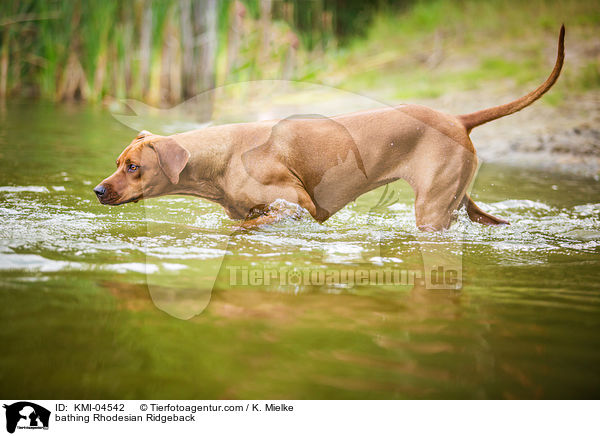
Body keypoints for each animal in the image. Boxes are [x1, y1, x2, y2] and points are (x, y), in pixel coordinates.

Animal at [96, 25, 564, 232]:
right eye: (117, 162)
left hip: (431, 207)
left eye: (134, 167)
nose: (98, 190)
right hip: (458, 196)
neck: (221, 158)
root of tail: (457, 118)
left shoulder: (298, 206)